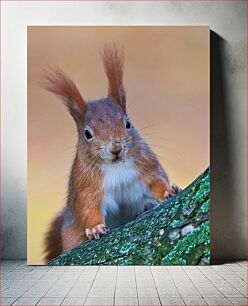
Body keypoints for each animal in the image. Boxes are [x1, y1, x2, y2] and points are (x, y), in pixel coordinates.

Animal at [42, 43, 178, 262]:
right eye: (87, 134)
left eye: (128, 123)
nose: (115, 148)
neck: (116, 166)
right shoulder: (86, 184)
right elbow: (88, 207)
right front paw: (95, 228)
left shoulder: (146, 165)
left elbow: (157, 180)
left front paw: (168, 191)